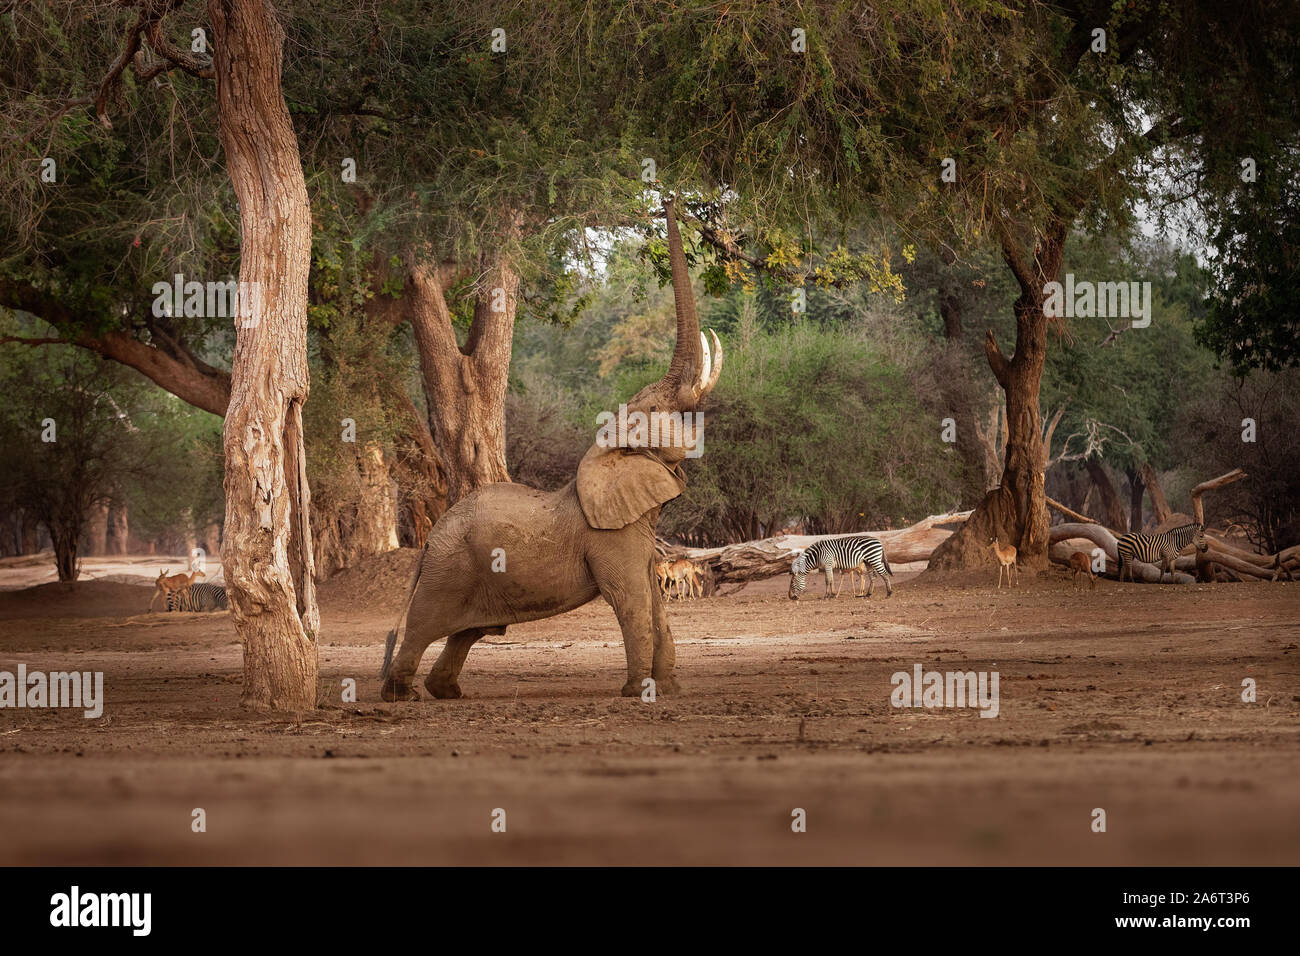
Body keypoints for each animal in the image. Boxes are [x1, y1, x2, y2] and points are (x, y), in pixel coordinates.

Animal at [379, 196, 722, 702]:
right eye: (657, 406)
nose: (668, 199)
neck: (606, 453)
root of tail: (428, 540)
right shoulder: (610, 537)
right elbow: (631, 599)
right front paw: (637, 691)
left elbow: (654, 600)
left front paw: (670, 689)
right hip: (448, 569)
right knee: (424, 627)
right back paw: (403, 695)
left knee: (468, 632)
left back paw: (447, 691)